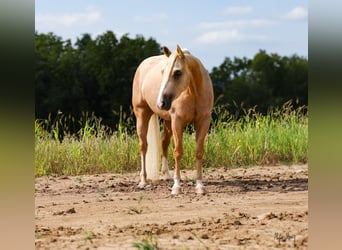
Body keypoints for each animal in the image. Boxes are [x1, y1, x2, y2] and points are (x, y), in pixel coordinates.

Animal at [132, 45, 212, 195]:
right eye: (162, 72)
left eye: (177, 72)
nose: (161, 103)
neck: (192, 91)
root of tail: (143, 65)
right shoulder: (178, 121)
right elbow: (178, 152)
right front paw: (177, 187)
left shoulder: (203, 121)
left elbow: (199, 152)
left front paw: (199, 185)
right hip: (142, 115)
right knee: (143, 146)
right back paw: (143, 181)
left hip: (168, 122)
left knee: (164, 143)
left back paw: (167, 175)